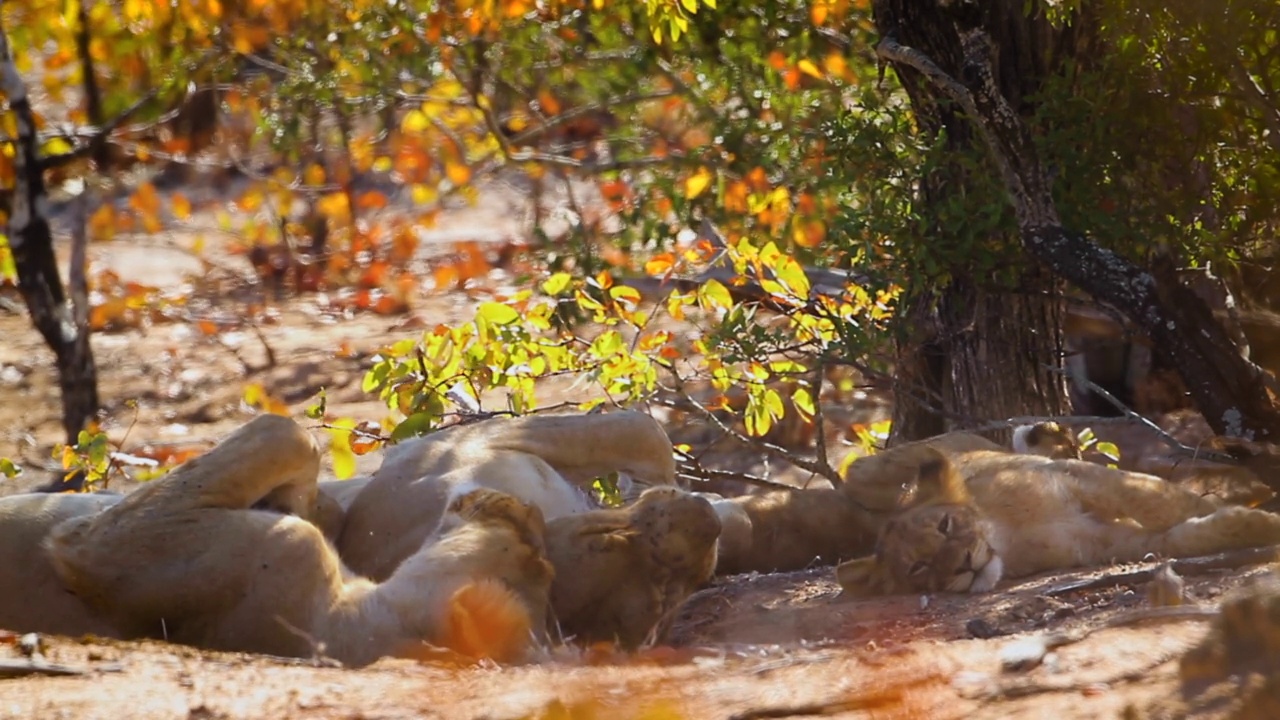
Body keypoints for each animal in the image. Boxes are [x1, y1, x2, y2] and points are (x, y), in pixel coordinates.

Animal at [834, 443, 1280, 594]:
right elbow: (1179, 538)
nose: (963, 566)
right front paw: (1253, 525)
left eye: (945, 525)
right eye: (918, 567)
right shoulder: (1099, 542)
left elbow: (1155, 500)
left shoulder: (1070, 474)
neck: (1010, 536)